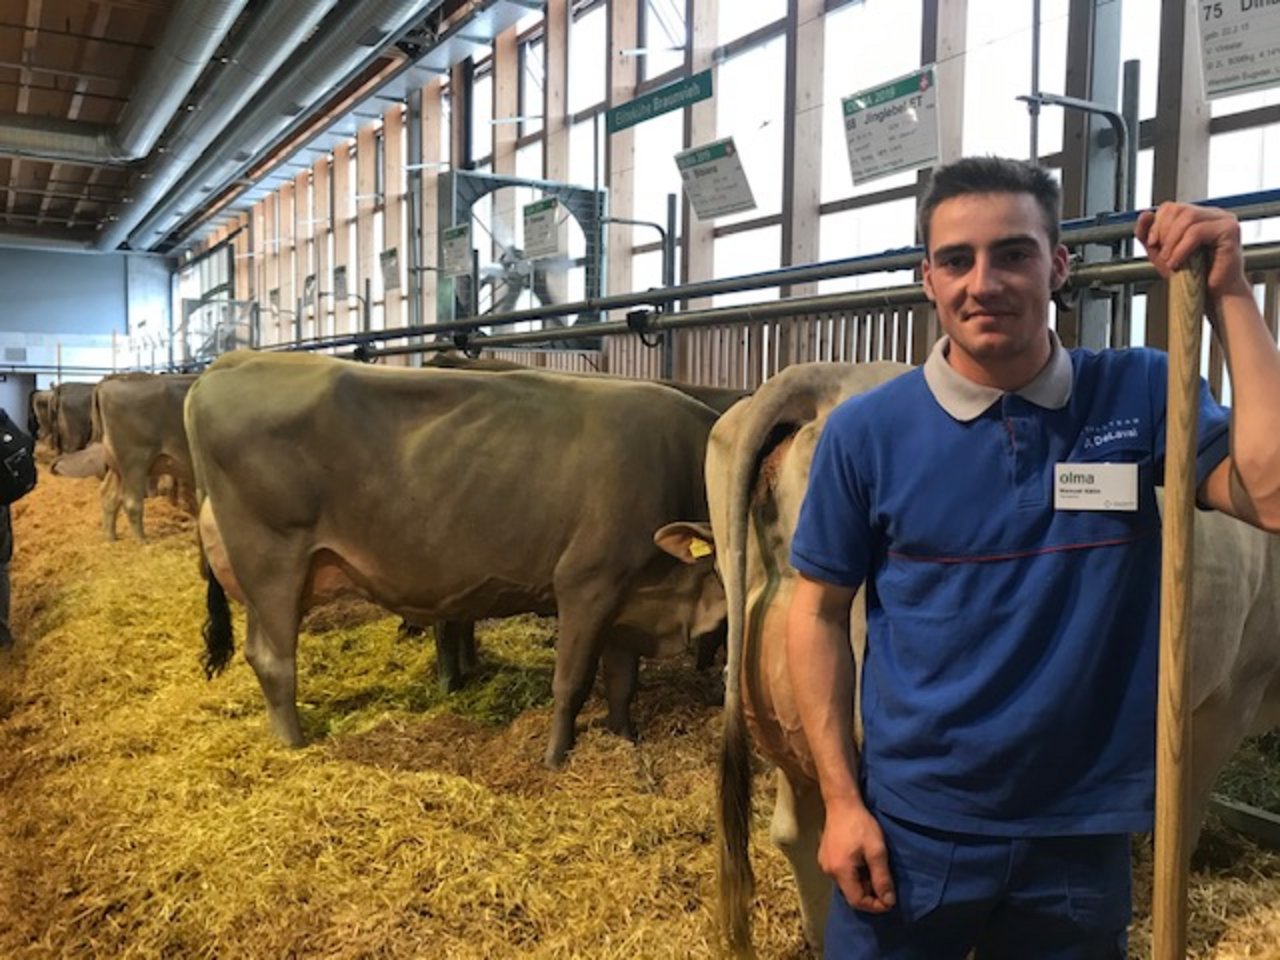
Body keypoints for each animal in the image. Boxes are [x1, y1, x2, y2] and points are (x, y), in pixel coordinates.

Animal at [189, 353, 732, 768]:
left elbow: (623, 681)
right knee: (273, 659)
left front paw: (624, 740)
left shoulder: (628, 595)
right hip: (272, 559)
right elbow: (571, 682)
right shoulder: (588, 582)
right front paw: (556, 760)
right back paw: (295, 744)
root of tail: (236, 361)